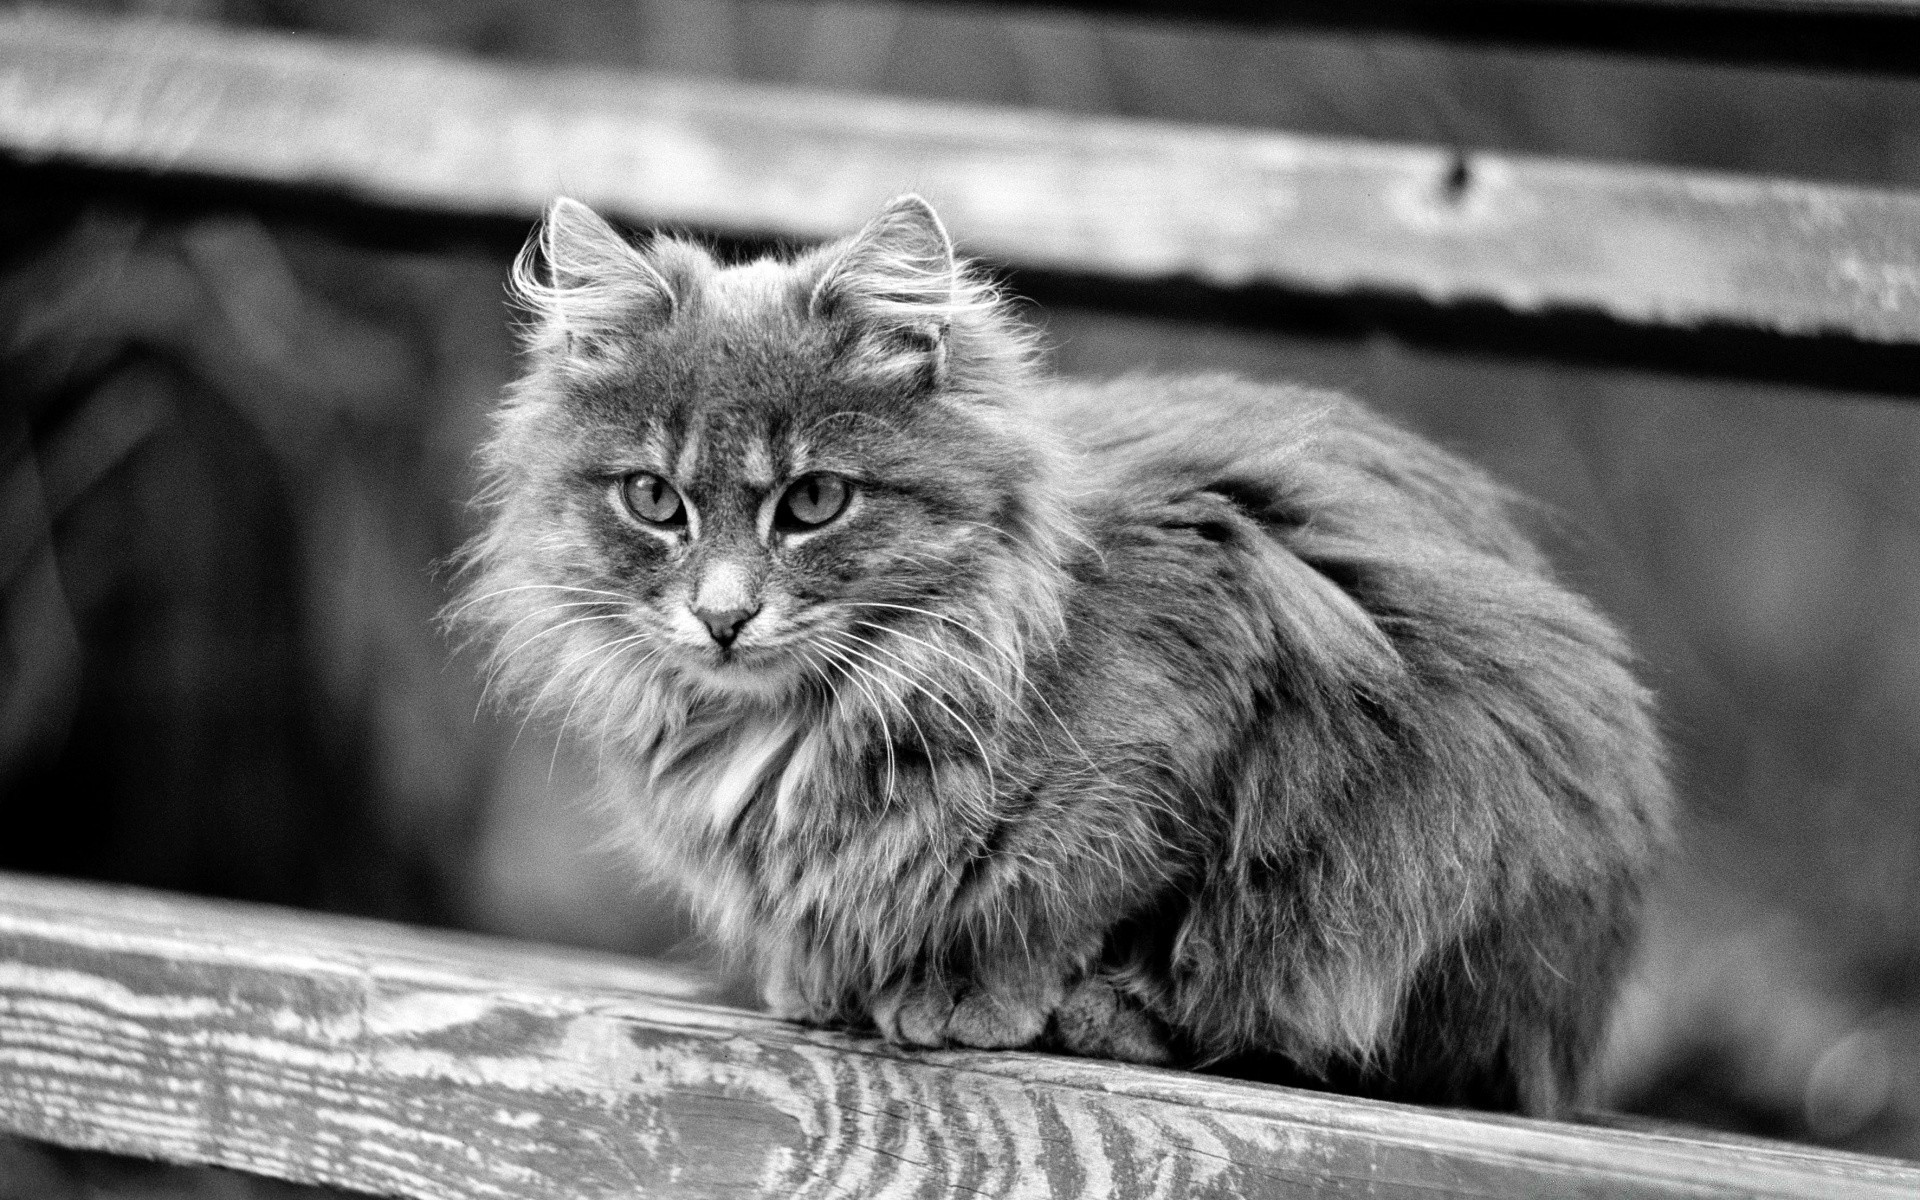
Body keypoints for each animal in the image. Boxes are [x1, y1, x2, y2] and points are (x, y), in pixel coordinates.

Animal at [449, 189, 1666, 1113]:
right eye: (655, 500)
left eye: (815, 502)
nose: (723, 616)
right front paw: (820, 983)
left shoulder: (1198, 700)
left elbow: (1076, 896)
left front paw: (973, 995)